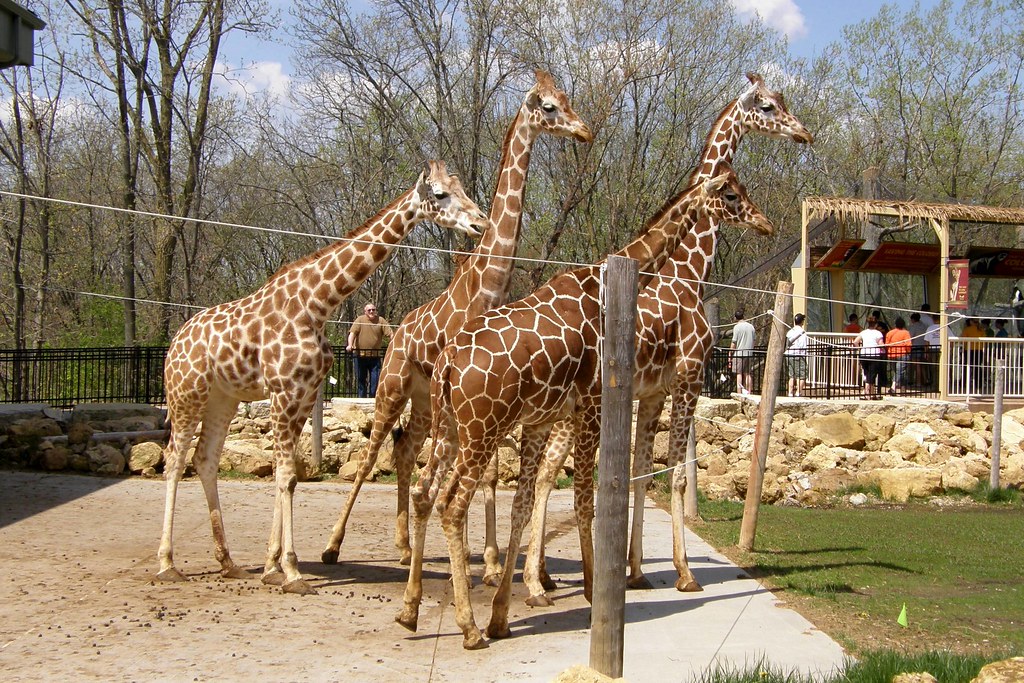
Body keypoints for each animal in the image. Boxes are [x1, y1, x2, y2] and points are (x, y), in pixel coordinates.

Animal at [156, 161, 486, 595]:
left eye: (459, 188)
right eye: (440, 195)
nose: (480, 222)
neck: (317, 304)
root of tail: (175, 343)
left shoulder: (302, 394)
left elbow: (290, 476)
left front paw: (272, 566)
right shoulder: (283, 392)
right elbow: (284, 475)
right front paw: (293, 571)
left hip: (223, 399)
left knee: (205, 460)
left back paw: (228, 562)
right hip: (185, 394)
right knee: (175, 461)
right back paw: (167, 563)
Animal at [320, 70, 592, 578]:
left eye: (567, 99)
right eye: (547, 106)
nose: (584, 131)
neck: (487, 283)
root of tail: (397, 335)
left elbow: (487, 472)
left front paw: (486, 561)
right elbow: (464, 471)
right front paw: (468, 560)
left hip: (426, 400)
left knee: (406, 449)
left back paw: (405, 546)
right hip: (391, 387)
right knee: (371, 456)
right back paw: (333, 546)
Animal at [397, 164, 773, 649]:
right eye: (729, 194)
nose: (765, 224)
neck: (600, 286)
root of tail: (446, 365)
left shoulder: (545, 419)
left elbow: (526, 503)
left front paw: (505, 612)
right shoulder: (595, 401)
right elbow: (585, 497)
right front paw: (596, 592)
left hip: (448, 428)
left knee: (426, 493)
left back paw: (411, 611)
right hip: (481, 431)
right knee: (451, 505)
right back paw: (468, 628)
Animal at [522, 72, 813, 605]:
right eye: (767, 105)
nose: (803, 133)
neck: (687, 271)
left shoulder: (654, 391)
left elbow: (641, 470)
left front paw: (636, 570)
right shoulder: (689, 378)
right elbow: (675, 473)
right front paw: (683, 572)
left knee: (543, 469)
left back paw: (543, 577)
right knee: (545, 468)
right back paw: (535, 580)